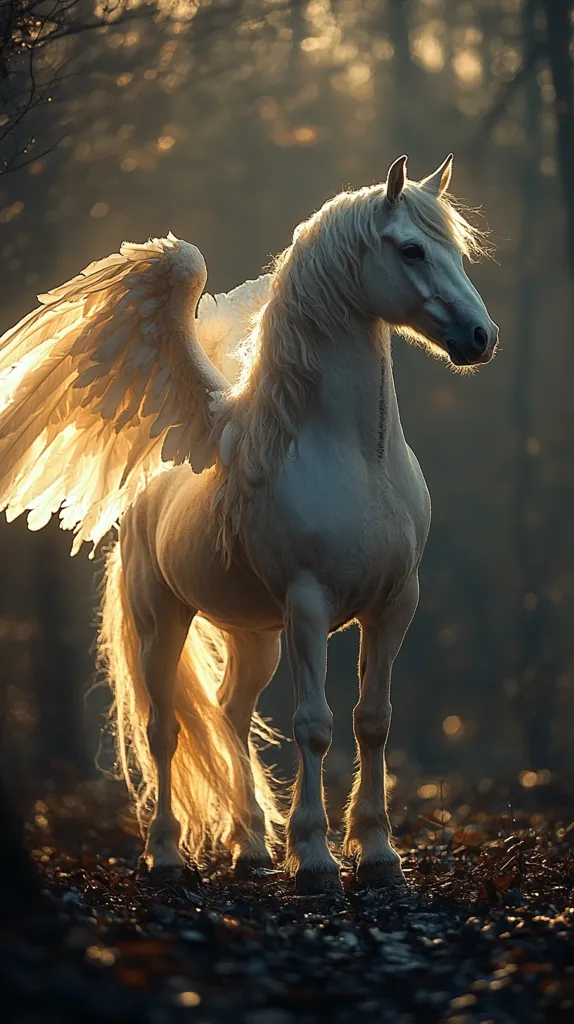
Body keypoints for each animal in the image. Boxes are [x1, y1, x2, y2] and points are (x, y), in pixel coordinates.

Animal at [0, 154, 498, 894]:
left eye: (457, 251)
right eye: (410, 249)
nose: (480, 339)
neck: (356, 457)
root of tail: (147, 490)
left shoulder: (395, 602)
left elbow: (373, 721)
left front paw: (377, 854)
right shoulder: (310, 604)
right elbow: (315, 725)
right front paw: (316, 858)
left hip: (255, 633)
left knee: (231, 715)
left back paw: (253, 846)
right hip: (164, 620)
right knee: (165, 730)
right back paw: (167, 855)